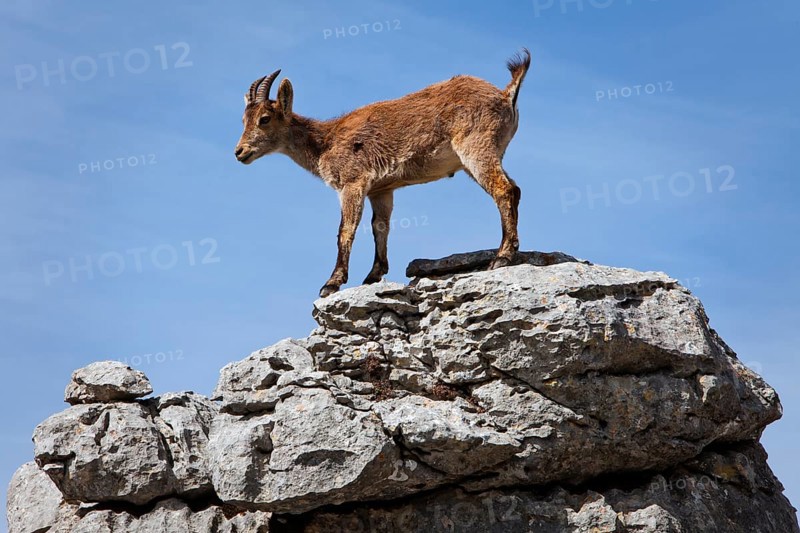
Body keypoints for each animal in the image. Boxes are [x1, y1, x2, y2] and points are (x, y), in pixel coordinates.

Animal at [235, 49, 531, 297]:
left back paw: (502, 256)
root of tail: (506, 95)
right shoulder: (381, 190)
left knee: (503, 189)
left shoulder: (353, 183)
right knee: (515, 189)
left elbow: (346, 230)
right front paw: (373, 275)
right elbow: (380, 226)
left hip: (476, 148)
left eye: (264, 119)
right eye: (244, 120)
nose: (240, 151)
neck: (325, 142)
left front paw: (331, 283)